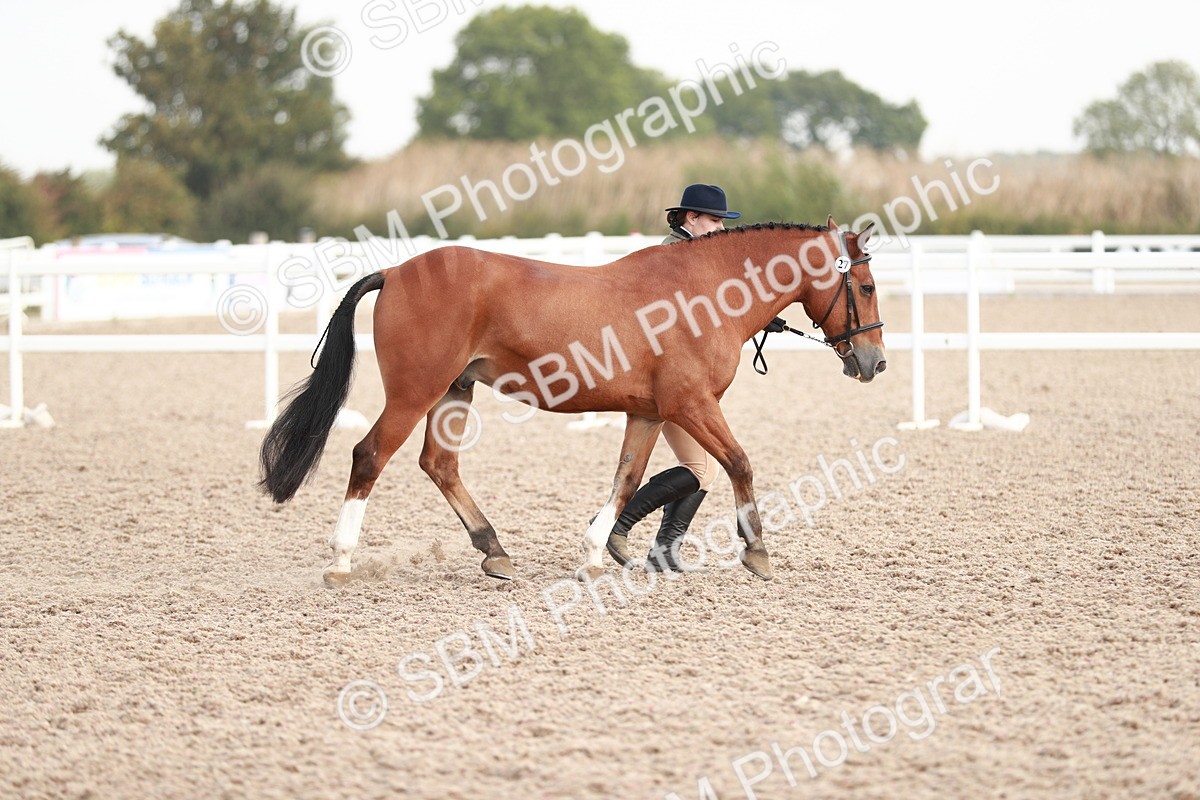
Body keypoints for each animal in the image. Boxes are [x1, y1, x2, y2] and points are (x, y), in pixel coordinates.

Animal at [259, 216, 885, 584]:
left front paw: (595, 554)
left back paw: (495, 551)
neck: (704, 291)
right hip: (416, 392)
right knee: (370, 457)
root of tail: (394, 271)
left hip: (454, 391)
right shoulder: (691, 405)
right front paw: (757, 553)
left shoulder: (649, 412)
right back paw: (341, 561)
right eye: (867, 285)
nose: (873, 362)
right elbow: (739, 463)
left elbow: (629, 480)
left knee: (439, 465)